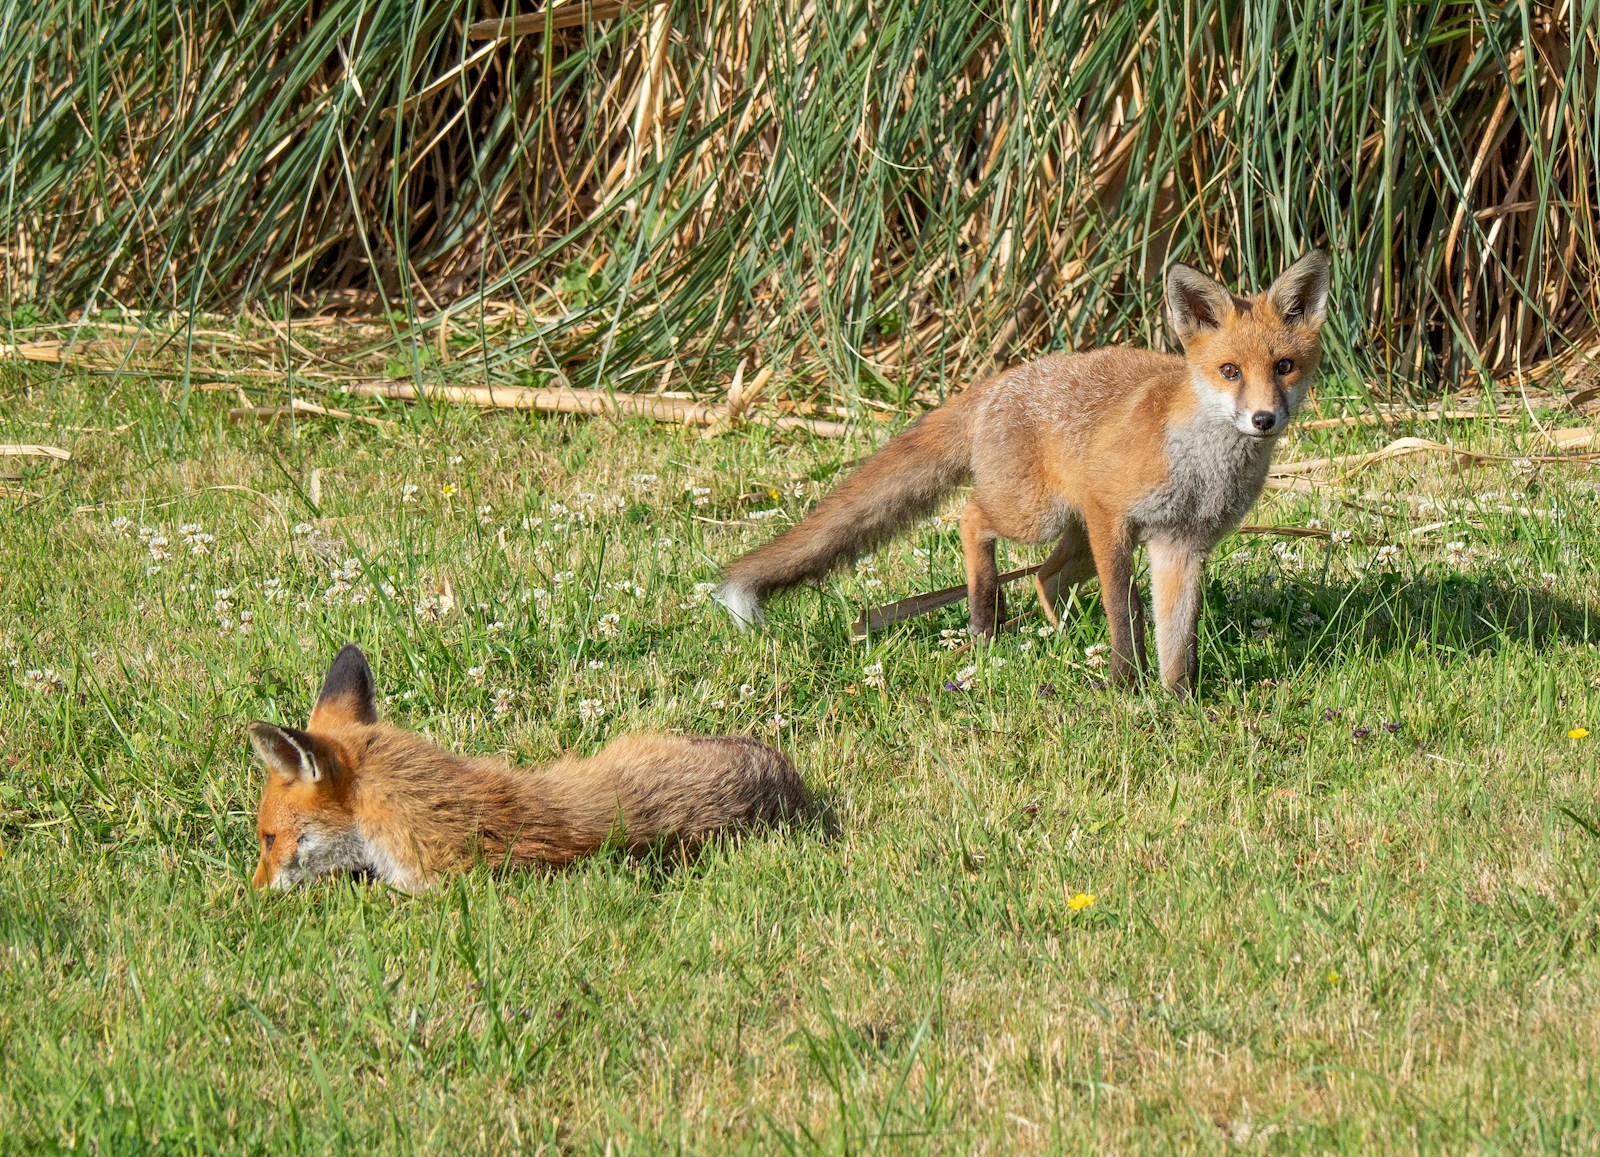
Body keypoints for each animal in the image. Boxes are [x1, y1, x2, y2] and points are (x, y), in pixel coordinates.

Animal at [716, 252, 1331, 696]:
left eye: (1284, 367)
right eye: (1229, 371)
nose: (1263, 419)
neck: (1201, 466)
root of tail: (999, 380)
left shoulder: (1180, 544)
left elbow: (1176, 636)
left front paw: (1179, 699)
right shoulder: (1113, 519)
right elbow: (1124, 614)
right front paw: (1123, 684)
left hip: (1073, 535)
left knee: (1044, 578)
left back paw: (1057, 636)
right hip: (1040, 517)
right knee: (971, 519)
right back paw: (985, 622)